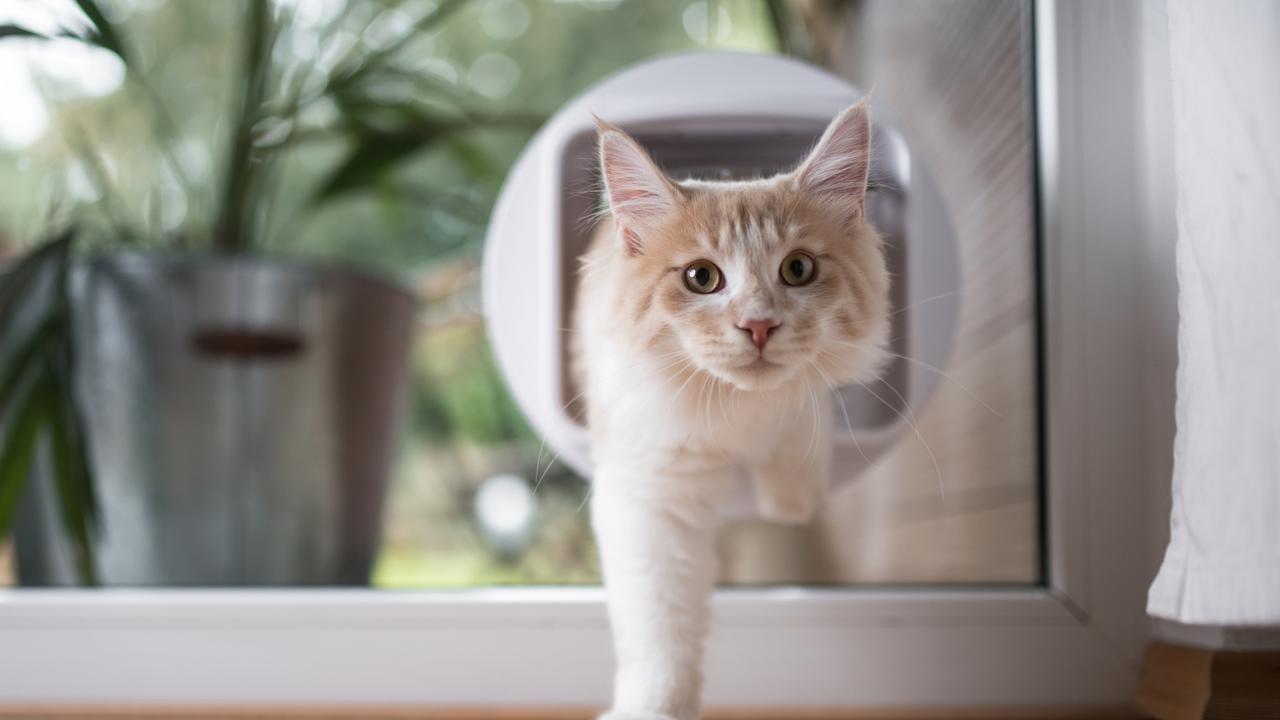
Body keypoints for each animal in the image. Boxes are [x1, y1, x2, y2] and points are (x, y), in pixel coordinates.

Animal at [578, 102, 890, 717]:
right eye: (701, 278)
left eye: (798, 269)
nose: (759, 325)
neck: (742, 412)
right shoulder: (650, 498)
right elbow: (660, 633)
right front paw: (654, 706)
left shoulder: (803, 413)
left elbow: (799, 446)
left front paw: (791, 503)